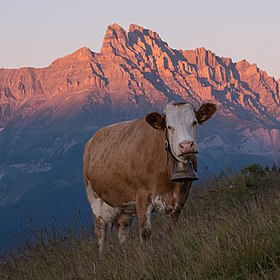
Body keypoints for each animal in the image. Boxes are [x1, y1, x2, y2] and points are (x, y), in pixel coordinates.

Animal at [82, 102, 217, 252]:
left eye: (194, 122)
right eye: (169, 127)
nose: (186, 145)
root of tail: (92, 140)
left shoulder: (181, 199)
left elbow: (169, 229)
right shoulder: (142, 196)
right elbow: (145, 232)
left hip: (125, 208)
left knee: (123, 230)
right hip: (93, 197)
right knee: (100, 232)